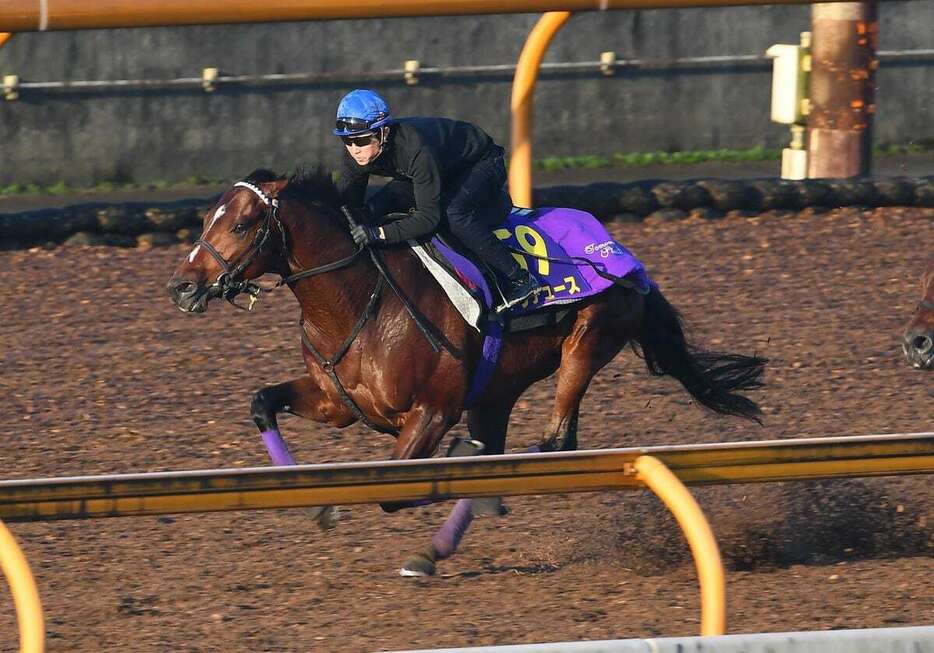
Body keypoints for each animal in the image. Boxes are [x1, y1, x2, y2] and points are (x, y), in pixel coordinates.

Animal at [168, 169, 768, 576]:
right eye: (205, 220)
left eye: (242, 224)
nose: (181, 286)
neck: (362, 297)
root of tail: (625, 255)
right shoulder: (337, 402)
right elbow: (262, 402)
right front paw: (319, 508)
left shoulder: (432, 413)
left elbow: (395, 490)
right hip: (496, 391)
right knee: (502, 450)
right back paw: (432, 549)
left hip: (587, 340)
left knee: (552, 443)